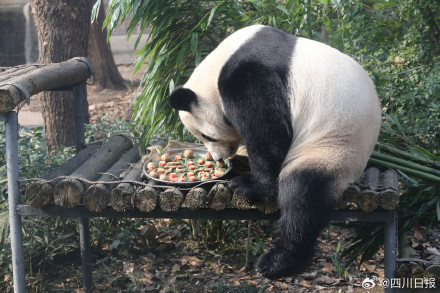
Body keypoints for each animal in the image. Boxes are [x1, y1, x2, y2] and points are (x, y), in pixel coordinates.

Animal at [168, 24, 382, 278]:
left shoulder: (250, 76)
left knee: (302, 198)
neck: (220, 62)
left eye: (207, 136)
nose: (220, 158)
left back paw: (278, 262)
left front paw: (250, 185)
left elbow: (267, 132)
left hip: (331, 147)